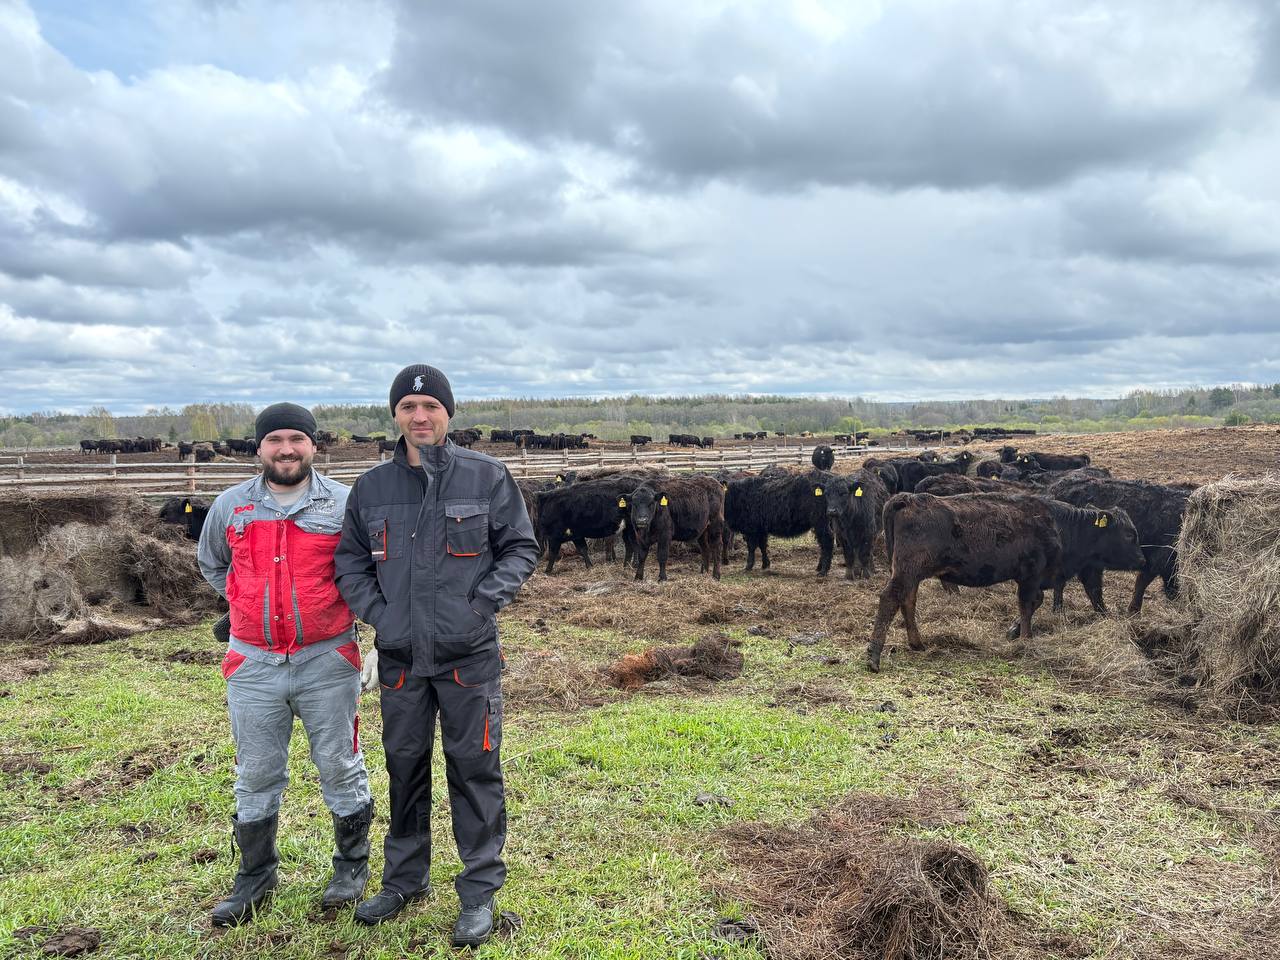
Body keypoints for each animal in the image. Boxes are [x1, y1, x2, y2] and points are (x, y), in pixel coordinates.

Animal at [868, 493, 1064, 671]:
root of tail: (908, 499)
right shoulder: (1030, 576)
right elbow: (1027, 605)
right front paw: (1025, 639)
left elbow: (1034, 602)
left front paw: (1016, 632)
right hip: (907, 572)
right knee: (890, 599)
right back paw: (873, 657)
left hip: (911, 575)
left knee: (907, 600)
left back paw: (917, 644)